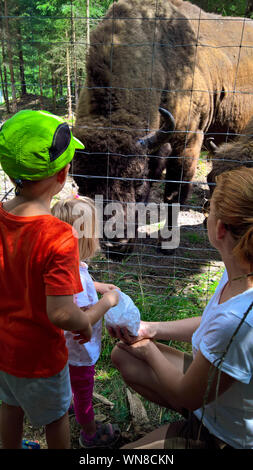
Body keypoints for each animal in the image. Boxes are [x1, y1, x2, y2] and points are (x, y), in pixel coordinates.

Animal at [72, 0, 253, 255]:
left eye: (138, 180)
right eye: (81, 184)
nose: (115, 245)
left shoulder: (187, 143)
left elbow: (172, 194)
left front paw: (166, 243)